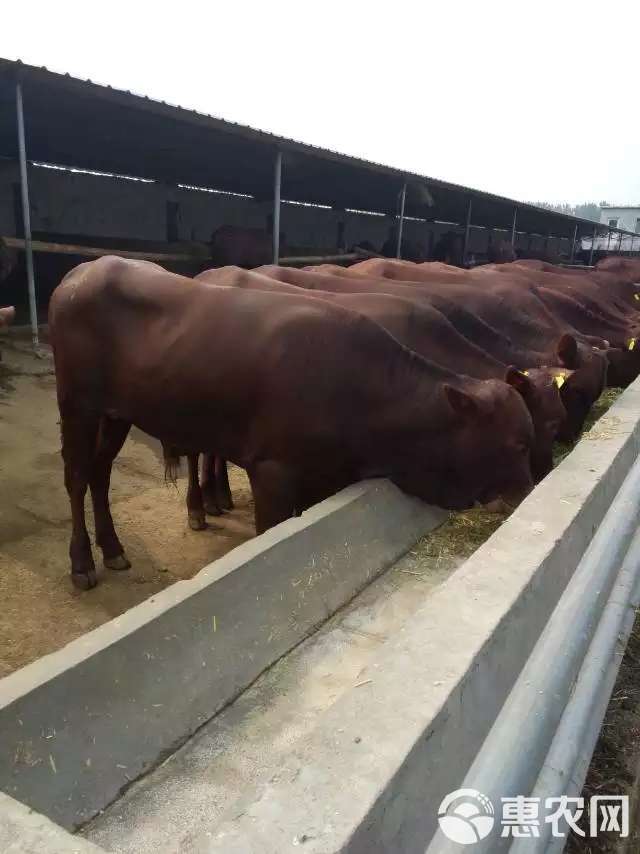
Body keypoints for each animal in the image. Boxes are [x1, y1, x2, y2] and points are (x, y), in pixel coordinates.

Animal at [48, 254, 536, 588]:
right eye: (516, 443)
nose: (529, 491)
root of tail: (83, 271)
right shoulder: (274, 473)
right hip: (76, 404)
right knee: (76, 477)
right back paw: (82, 562)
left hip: (116, 413)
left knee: (99, 474)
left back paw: (113, 548)